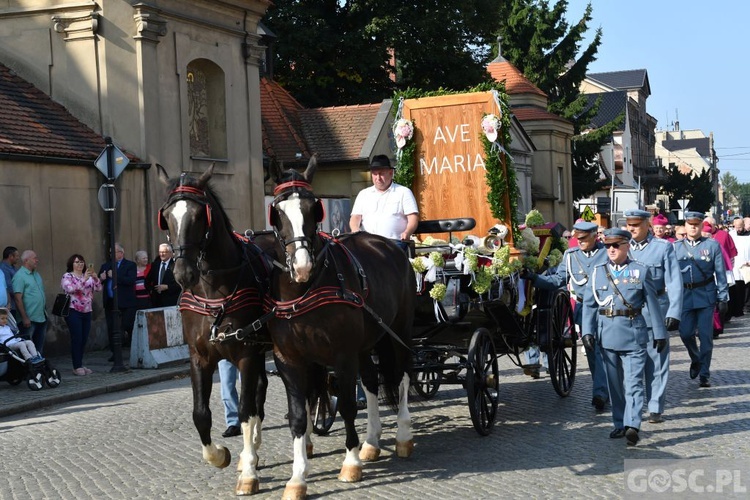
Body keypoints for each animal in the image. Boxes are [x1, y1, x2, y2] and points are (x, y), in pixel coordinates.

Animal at [157, 165, 274, 496]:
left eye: (200, 215)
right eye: (166, 216)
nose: (183, 273)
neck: (213, 289)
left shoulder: (246, 354)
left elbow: (246, 411)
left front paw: (248, 473)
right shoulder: (199, 357)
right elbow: (201, 415)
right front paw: (221, 456)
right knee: (261, 390)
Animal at [268, 156, 418, 500]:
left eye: (313, 208)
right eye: (278, 212)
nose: (302, 266)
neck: (305, 291)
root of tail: (389, 245)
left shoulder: (342, 355)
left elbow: (349, 404)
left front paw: (350, 462)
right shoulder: (290, 361)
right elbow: (299, 416)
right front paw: (297, 478)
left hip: (399, 330)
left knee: (402, 374)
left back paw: (402, 436)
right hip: (367, 343)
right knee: (373, 382)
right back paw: (372, 442)